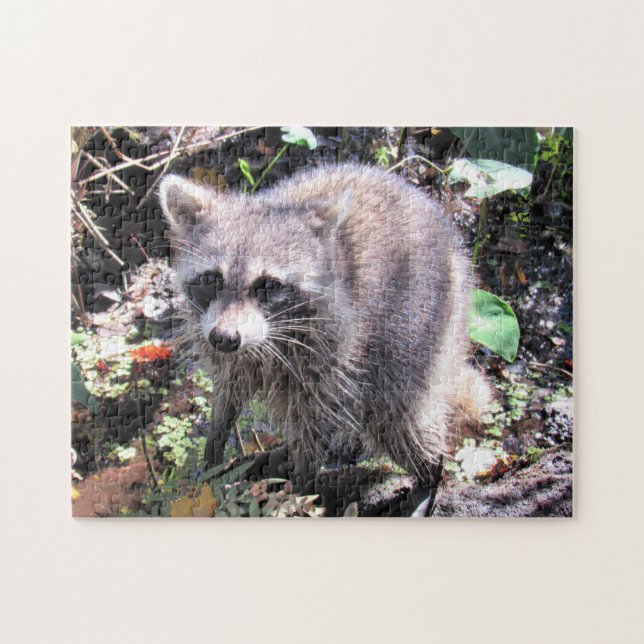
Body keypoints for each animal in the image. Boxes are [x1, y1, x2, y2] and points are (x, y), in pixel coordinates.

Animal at [159, 164, 490, 489]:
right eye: (212, 278)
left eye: (269, 285)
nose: (225, 338)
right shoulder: (215, 338)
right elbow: (228, 391)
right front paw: (212, 450)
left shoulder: (334, 350)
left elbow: (315, 420)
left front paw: (303, 485)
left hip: (417, 325)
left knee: (399, 420)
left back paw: (429, 474)